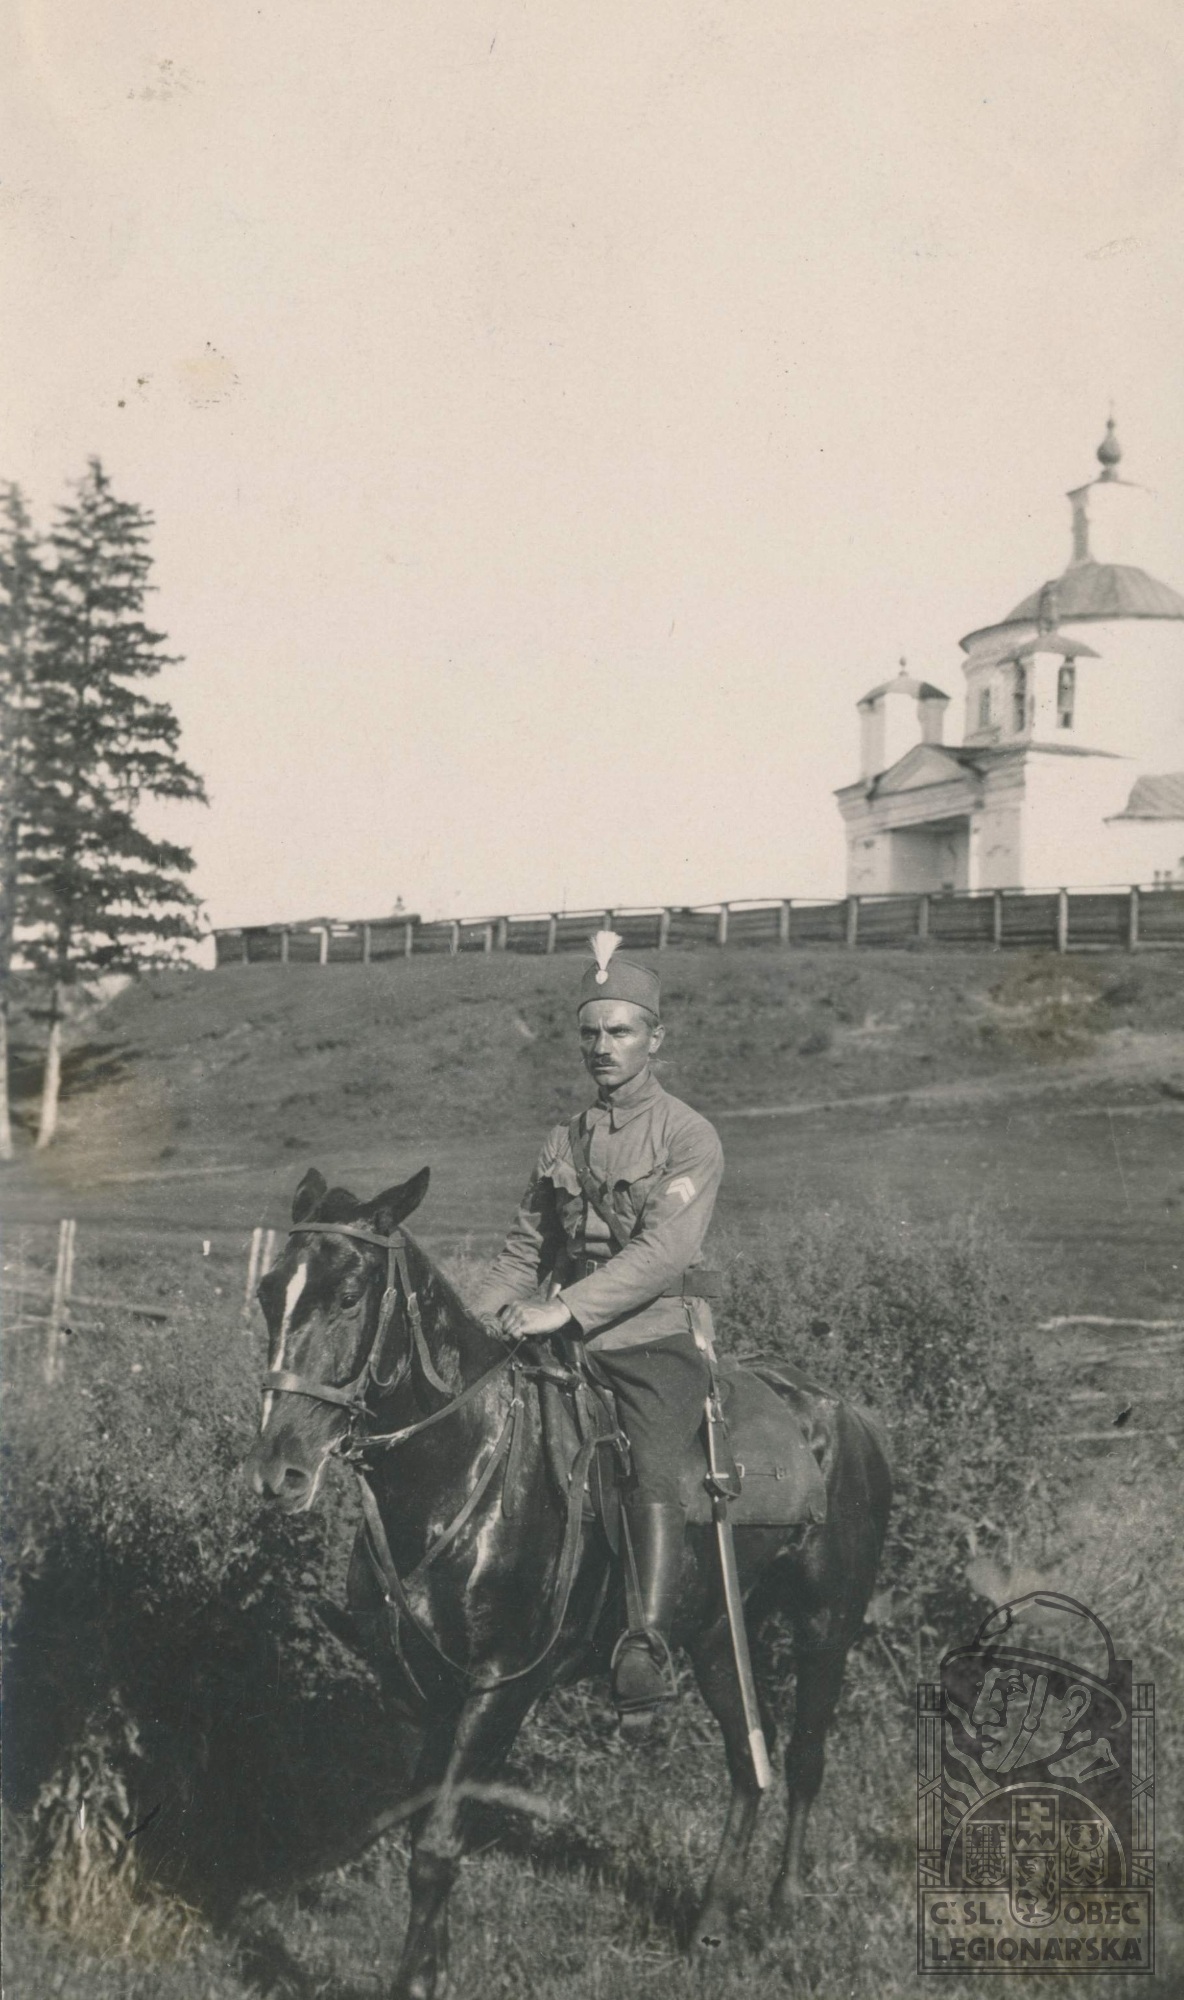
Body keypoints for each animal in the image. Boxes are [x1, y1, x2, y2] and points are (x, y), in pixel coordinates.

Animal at [245, 1166, 892, 2000]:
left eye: (352, 1291)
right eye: (269, 1292)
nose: (279, 1471)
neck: (464, 1468)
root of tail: (846, 1416)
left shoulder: (499, 1687)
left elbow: (435, 1849)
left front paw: (417, 1979)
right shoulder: (431, 1690)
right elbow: (432, 1828)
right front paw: (436, 1963)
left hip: (825, 1628)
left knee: (808, 1760)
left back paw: (782, 1907)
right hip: (717, 1635)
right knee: (752, 1767)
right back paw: (711, 1923)